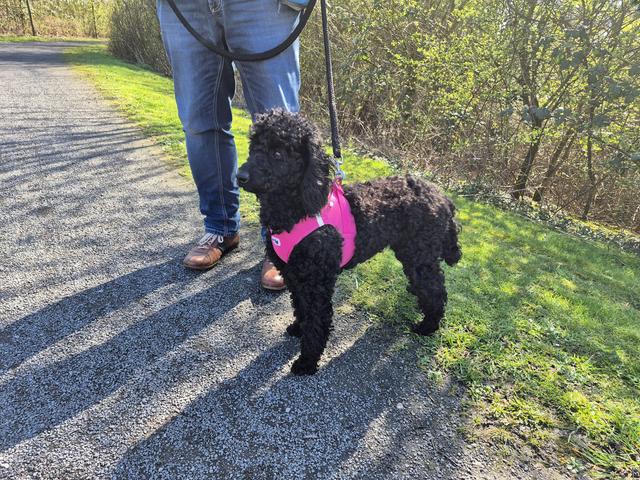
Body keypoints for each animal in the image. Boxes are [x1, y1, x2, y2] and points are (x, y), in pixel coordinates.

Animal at [237, 110, 461, 375]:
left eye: (278, 153)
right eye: (253, 147)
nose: (240, 176)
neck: (296, 210)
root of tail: (442, 197)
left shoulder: (316, 282)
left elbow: (316, 320)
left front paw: (307, 361)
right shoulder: (294, 275)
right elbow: (301, 308)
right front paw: (298, 329)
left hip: (420, 256)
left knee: (436, 289)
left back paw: (428, 325)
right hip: (412, 253)